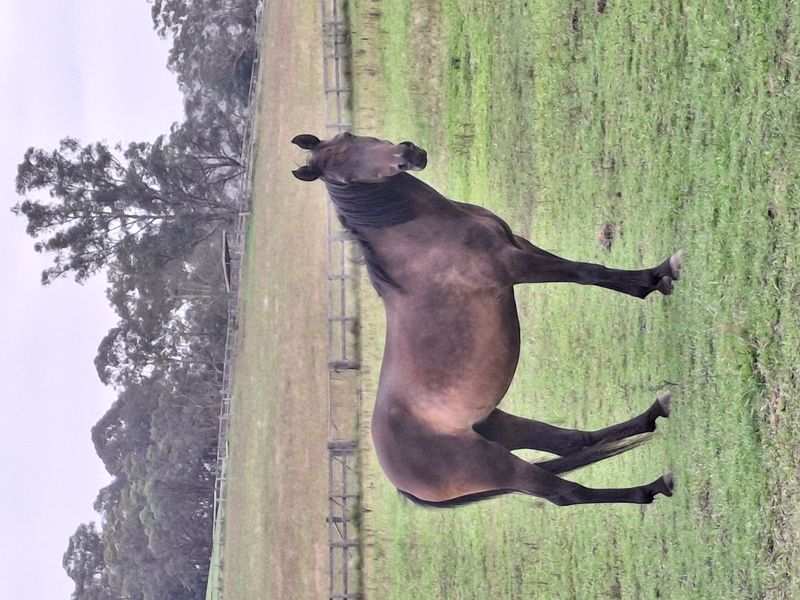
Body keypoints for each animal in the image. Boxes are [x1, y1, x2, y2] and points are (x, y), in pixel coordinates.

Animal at [292, 132, 682, 507]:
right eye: (345, 177)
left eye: (349, 136)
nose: (407, 154)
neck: (422, 236)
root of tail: (400, 481)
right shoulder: (516, 265)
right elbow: (587, 272)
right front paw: (658, 276)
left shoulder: (520, 245)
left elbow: (589, 271)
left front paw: (657, 277)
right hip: (496, 465)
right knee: (564, 493)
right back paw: (651, 488)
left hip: (497, 424)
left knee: (571, 441)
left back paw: (655, 412)